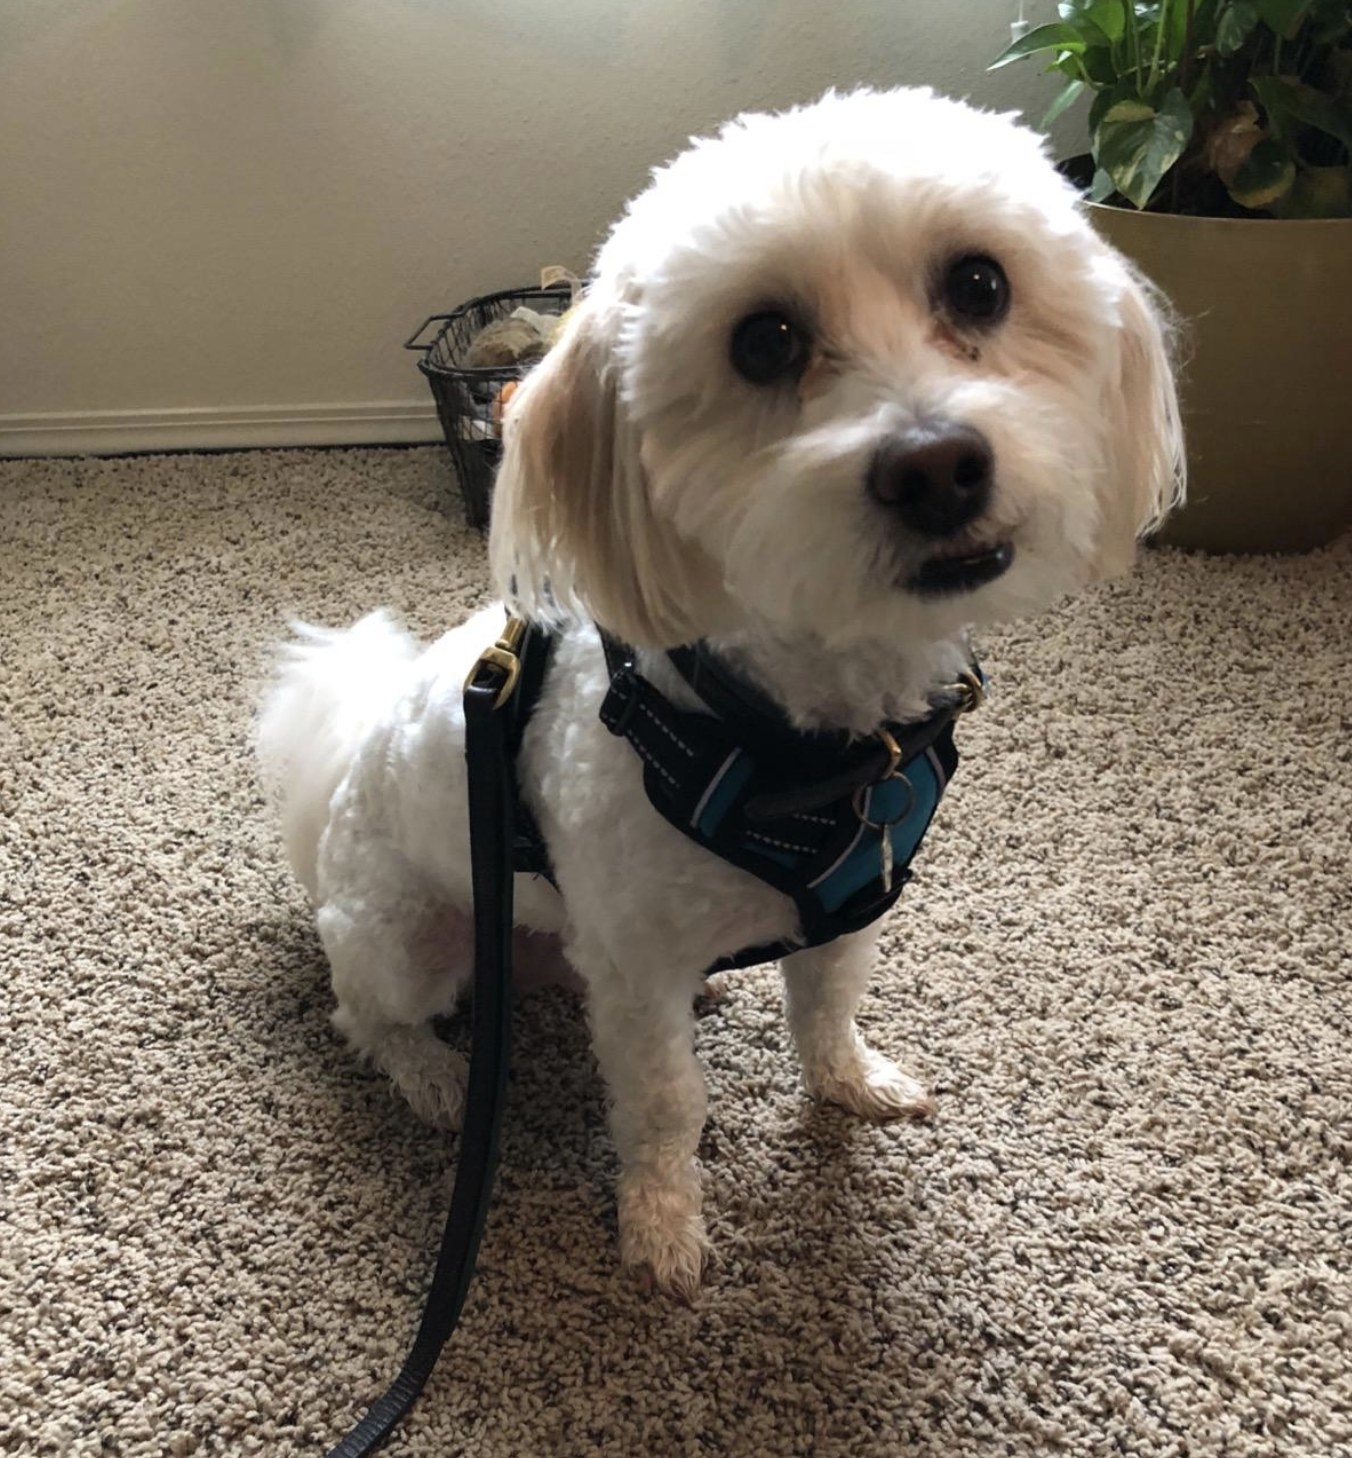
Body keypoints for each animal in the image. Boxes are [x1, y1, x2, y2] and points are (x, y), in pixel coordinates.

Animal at [256, 91, 1184, 1300]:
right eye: (763, 341)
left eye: (980, 285)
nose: (936, 466)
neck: (802, 740)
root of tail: (340, 776)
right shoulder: (636, 977)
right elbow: (662, 1101)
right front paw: (660, 1226)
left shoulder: (844, 914)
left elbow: (826, 1012)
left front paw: (850, 1085)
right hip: (408, 932)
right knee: (363, 1015)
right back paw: (435, 1078)